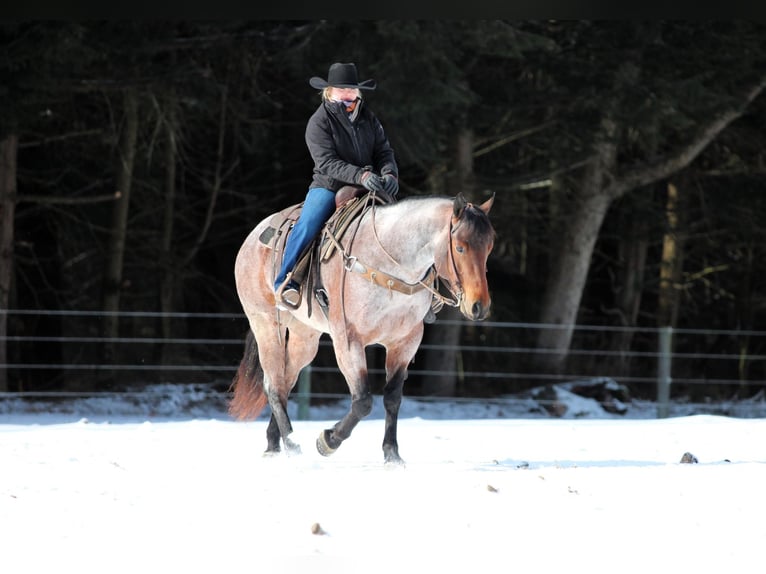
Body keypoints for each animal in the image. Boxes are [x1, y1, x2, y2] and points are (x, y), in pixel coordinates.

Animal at [228, 191, 498, 466]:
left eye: (489, 247)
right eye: (460, 247)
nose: (479, 306)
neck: (390, 266)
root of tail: (253, 237)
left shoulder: (405, 342)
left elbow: (392, 398)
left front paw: (392, 455)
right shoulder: (348, 340)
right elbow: (363, 401)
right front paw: (328, 441)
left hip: (305, 337)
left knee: (285, 382)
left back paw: (275, 443)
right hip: (265, 325)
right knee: (272, 384)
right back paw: (291, 445)